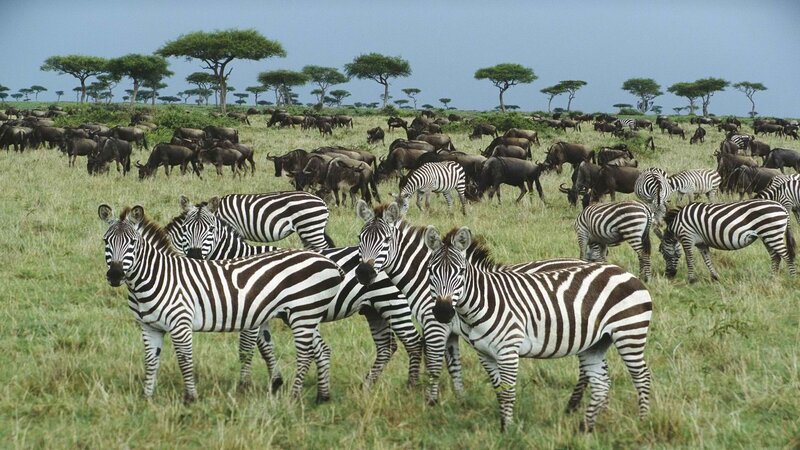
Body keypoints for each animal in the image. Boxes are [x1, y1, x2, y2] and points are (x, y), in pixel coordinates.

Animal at [98, 204, 343, 403]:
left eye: (132, 243)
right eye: (106, 241)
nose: (115, 275)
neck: (158, 276)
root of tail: (327, 261)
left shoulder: (180, 323)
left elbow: (185, 360)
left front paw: (190, 398)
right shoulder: (149, 327)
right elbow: (150, 362)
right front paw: (147, 398)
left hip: (303, 313)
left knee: (304, 355)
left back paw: (293, 398)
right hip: (306, 315)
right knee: (319, 351)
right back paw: (322, 396)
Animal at [354, 200, 589, 405]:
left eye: (386, 240)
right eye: (359, 238)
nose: (363, 273)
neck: (425, 278)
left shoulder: (435, 325)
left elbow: (434, 364)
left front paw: (431, 401)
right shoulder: (450, 330)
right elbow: (453, 365)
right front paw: (460, 399)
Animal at [423, 226, 652, 432]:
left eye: (461, 272)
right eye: (430, 271)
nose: (443, 312)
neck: (484, 300)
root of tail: (624, 272)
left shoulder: (508, 350)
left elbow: (508, 392)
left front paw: (508, 431)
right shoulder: (484, 354)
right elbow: (499, 391)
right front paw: (502, 426)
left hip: (629, 333)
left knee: (642, 377)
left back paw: (641, 422)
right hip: (595, 344)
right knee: (601, 383)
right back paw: (585, 428)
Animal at [655, 200, 796, 282]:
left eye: (663, 254)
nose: (669, 275)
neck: (676, 224)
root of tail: (783, 208)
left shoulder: (687, 237)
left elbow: (689, 259)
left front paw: (690, 279)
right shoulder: (701, 243)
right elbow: (707, 260)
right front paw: (715, 277)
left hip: (772, 233)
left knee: (787, 255)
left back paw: (793, 279)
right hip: (768, 236)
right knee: (776, 257)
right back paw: (772, 279)